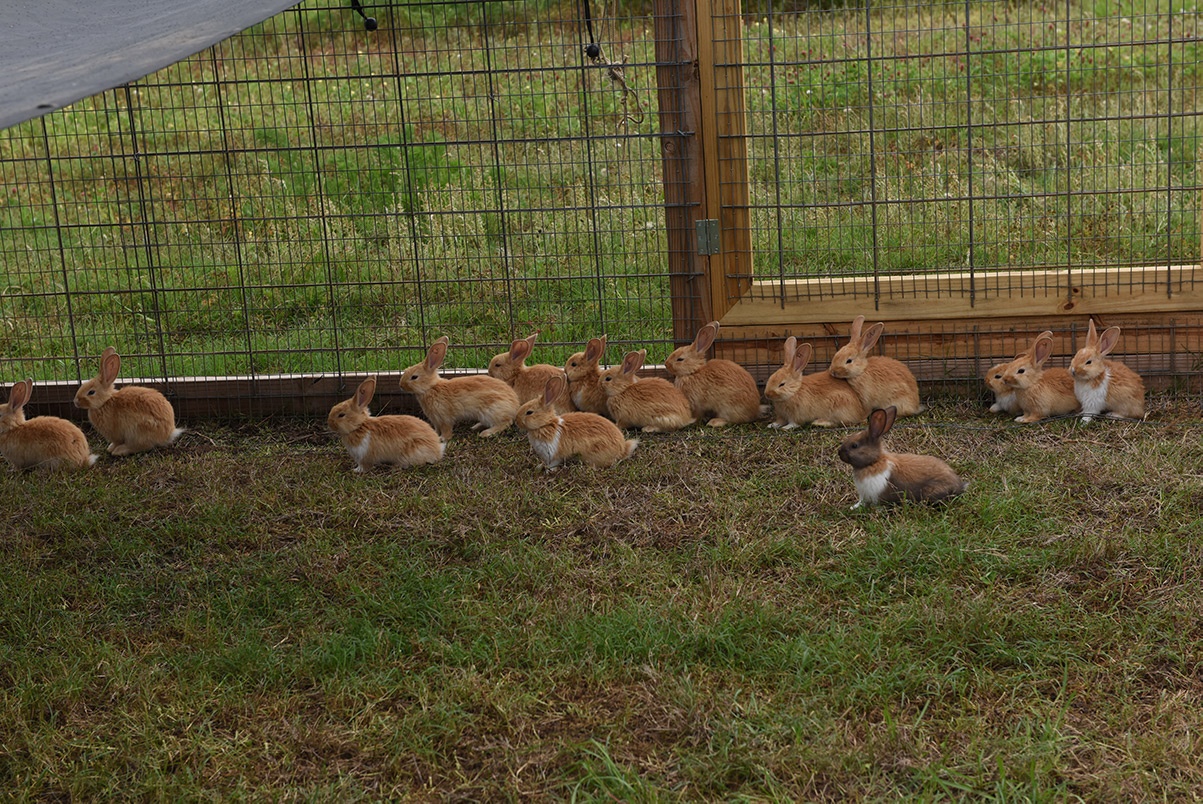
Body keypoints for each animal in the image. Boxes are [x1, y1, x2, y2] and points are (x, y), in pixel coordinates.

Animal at [837, 404, 967, 512]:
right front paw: (853, 507)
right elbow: (861, 502)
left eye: (854, 445)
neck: (874, 462)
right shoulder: (864, 495)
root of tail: (960, 486)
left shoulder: (876, 495)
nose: (839, 453)